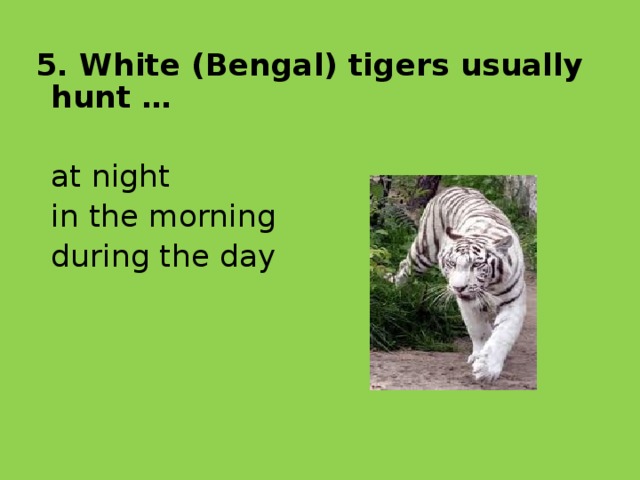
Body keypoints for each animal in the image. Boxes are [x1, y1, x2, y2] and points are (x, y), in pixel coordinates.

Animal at [387, 186, 526, 382]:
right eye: (452, 263)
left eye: (476, 265)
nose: (458, 288)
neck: (488, 286)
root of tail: (455, 187)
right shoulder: (468, 301)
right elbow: (478, 329)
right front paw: (478, 355)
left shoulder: (514, 302)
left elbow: (503, 335)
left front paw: (487, 369)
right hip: (424, 251)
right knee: (405, 266)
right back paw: (397, 290)